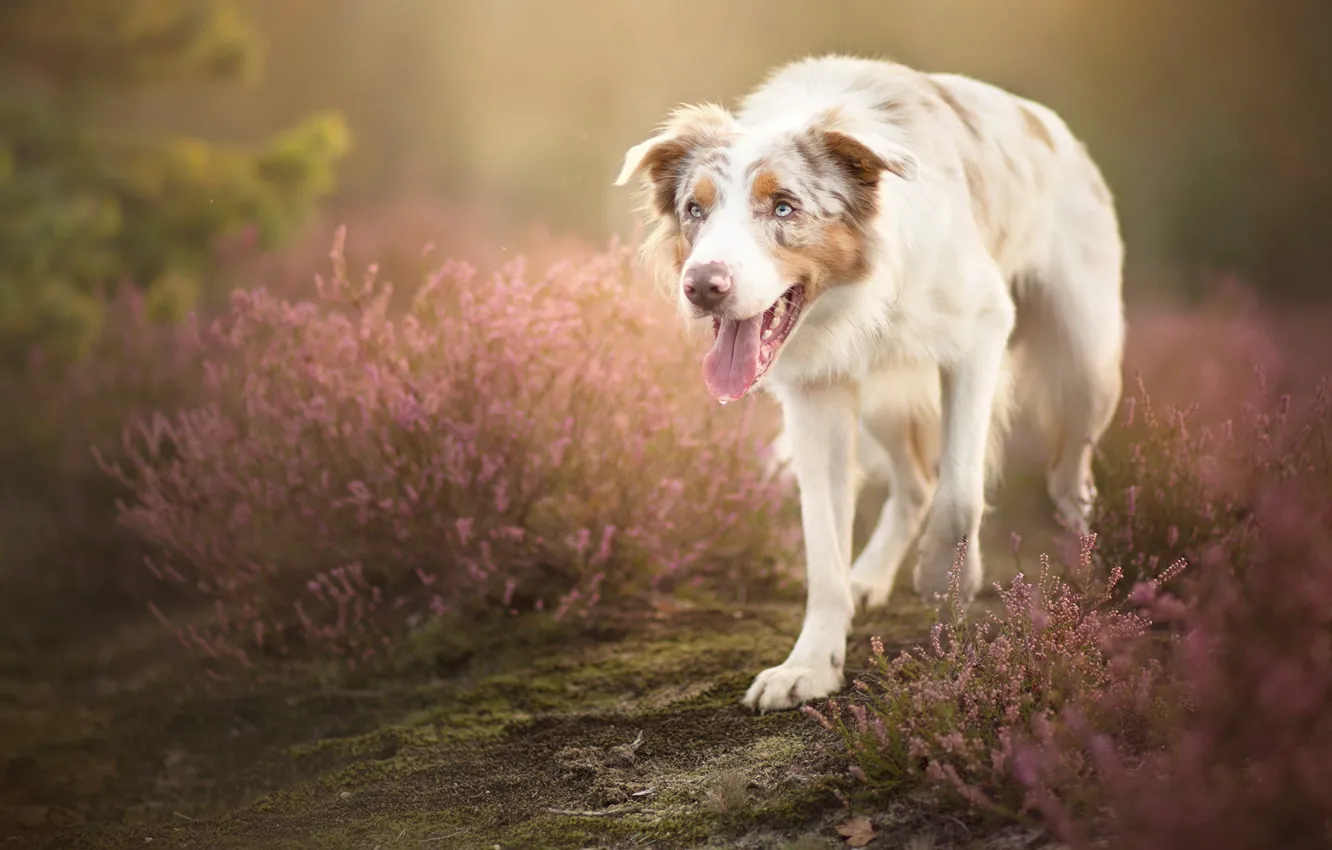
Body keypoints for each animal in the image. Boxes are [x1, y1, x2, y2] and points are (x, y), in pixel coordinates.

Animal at [612, 56, 1124, 714]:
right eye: (694, 210)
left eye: (784, 207)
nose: (702, 286)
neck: (860, 292)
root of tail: (1057, 130)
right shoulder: (817, 394)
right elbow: (824, 551)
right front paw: (810, 665)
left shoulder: (980, 333)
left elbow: (961, 494)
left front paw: (945, 578)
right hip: (881, 397)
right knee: (916, 484)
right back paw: (869, 578)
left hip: (1085, 366)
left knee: (1068, 482)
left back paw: (1089, 584)